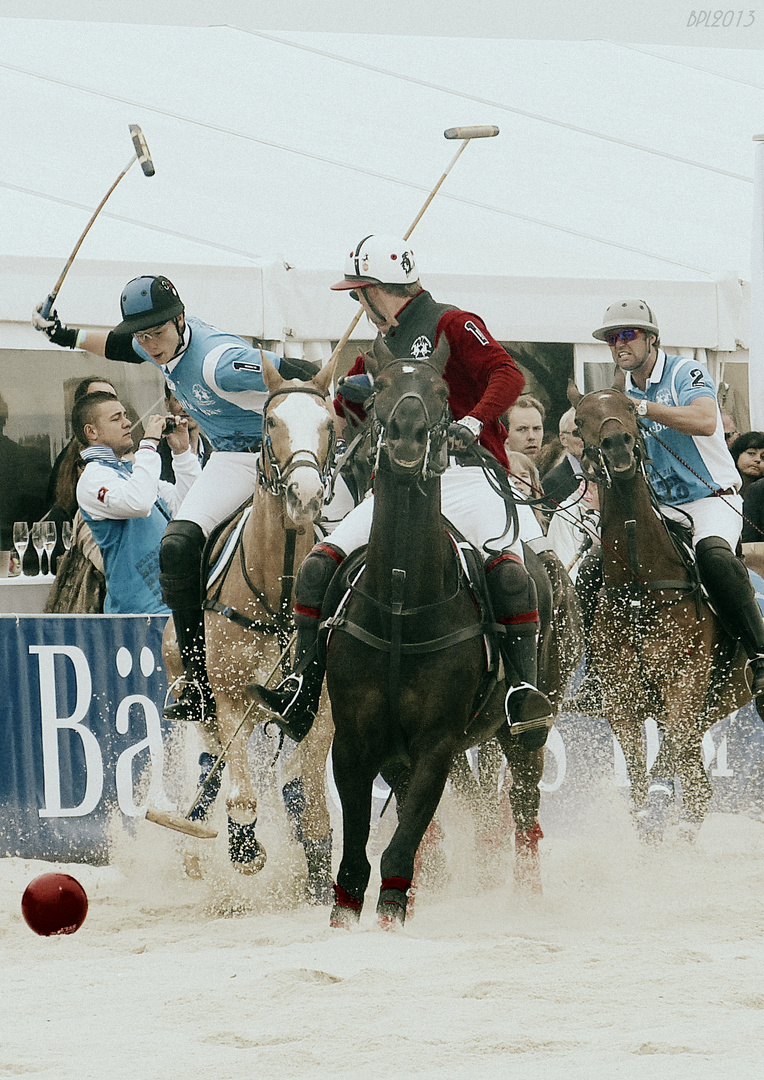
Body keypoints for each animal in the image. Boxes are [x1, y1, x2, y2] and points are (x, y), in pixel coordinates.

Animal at [156, 356, 337, 894]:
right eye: (270, 422)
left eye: (329, 425)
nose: (305, 495)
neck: (280, 592)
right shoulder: (232, 697)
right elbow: (240, 792)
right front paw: (244, 850)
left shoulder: (317, 708)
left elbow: (306, 791)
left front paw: (320, 871)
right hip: (194, 693)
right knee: (209, 769)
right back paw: (198, 845)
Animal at [322, 343, 548, 928]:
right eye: (377, 388)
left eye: (442, 392)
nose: (407, 434)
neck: (402, 604)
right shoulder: (354, 740)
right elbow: (356, 849)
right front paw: (346, 913)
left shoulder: (436, 742)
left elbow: (401, 845)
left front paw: (393, 908)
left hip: (525, 730)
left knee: (524, 804)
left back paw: (527, 894)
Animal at [566, 384, 752, 838]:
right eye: (579, 421)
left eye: (631, 410)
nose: (617, 446)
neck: (643, 586)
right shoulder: (622, 702)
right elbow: (640, 788)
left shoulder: (685, 685)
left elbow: (659, 775)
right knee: (699, 790)